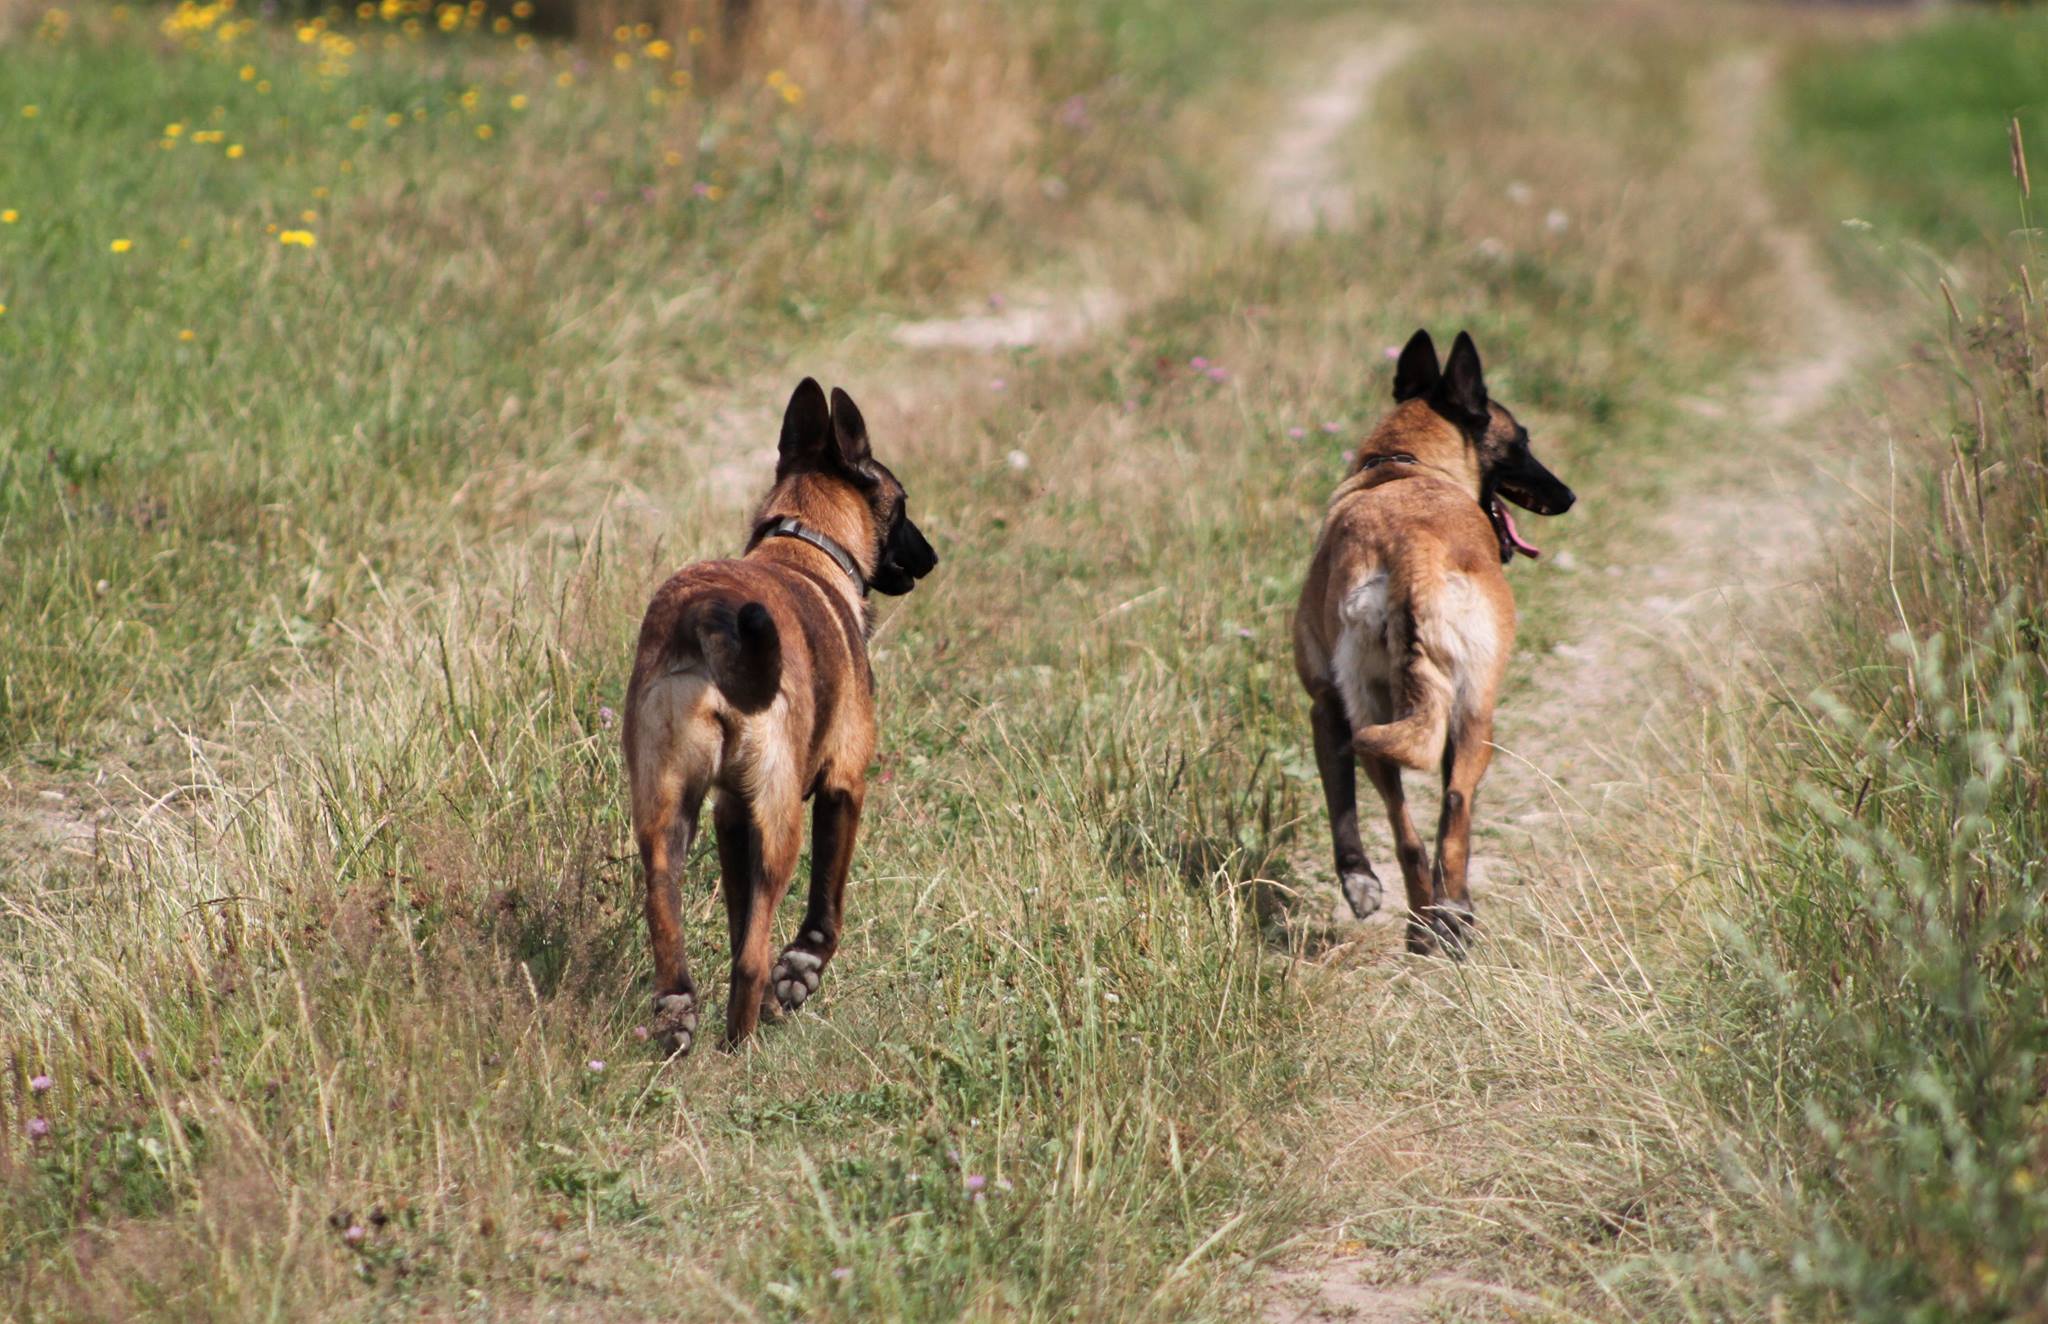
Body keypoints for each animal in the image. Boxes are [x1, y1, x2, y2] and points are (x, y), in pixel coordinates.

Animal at [622, 377, 937, 1057]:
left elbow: (744, 921)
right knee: (750, 959)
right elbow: (823, 908)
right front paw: (800, 973)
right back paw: (741, 1044)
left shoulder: (730, 813)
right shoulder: (842, 784)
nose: (931, 557)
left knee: (669, 916)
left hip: (666, 813)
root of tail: (707, 613)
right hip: (780, 815)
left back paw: (680, 1013)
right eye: (902, 504)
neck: (803, 545)